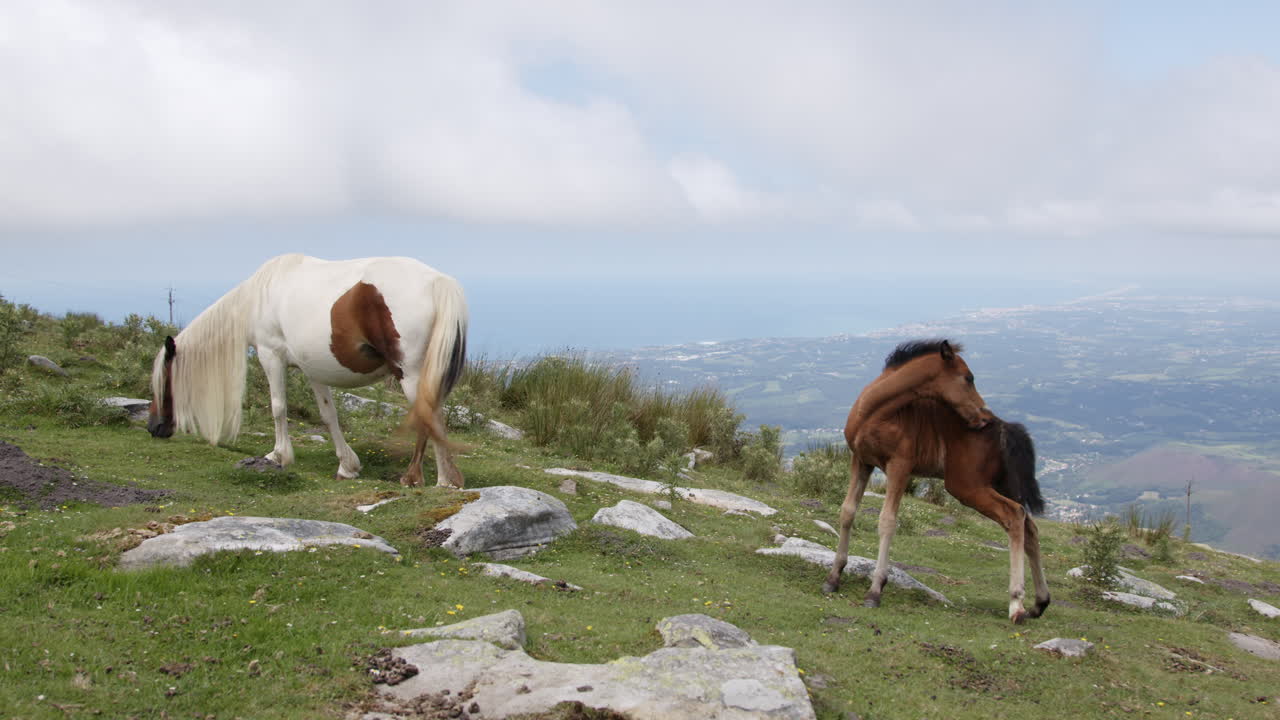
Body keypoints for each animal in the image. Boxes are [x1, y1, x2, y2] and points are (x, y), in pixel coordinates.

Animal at [147, 254, 469, 488]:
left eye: (163, 381)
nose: (153, 428)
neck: (257, 297)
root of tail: (439, 283)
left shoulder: (270, 355)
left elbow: (278, 407)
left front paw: (279, 455)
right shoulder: (313, 370)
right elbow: (328, 416)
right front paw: (347, 466)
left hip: (411, 374)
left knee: (427, 417)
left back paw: (421, 478)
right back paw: (446, 479)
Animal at [823, 383, 1050, 622]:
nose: (979, 414)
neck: (877, 413)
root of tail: (1003, 428)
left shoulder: (899, 466)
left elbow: (887, 520)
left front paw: (875, 591)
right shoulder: (861, 459)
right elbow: (848, 510)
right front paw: (834, 578)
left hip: (968, 486)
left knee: (1014, 514)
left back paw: (1016, 603)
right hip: (1001, 484)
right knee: (1029, 527)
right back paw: (1039, 603)